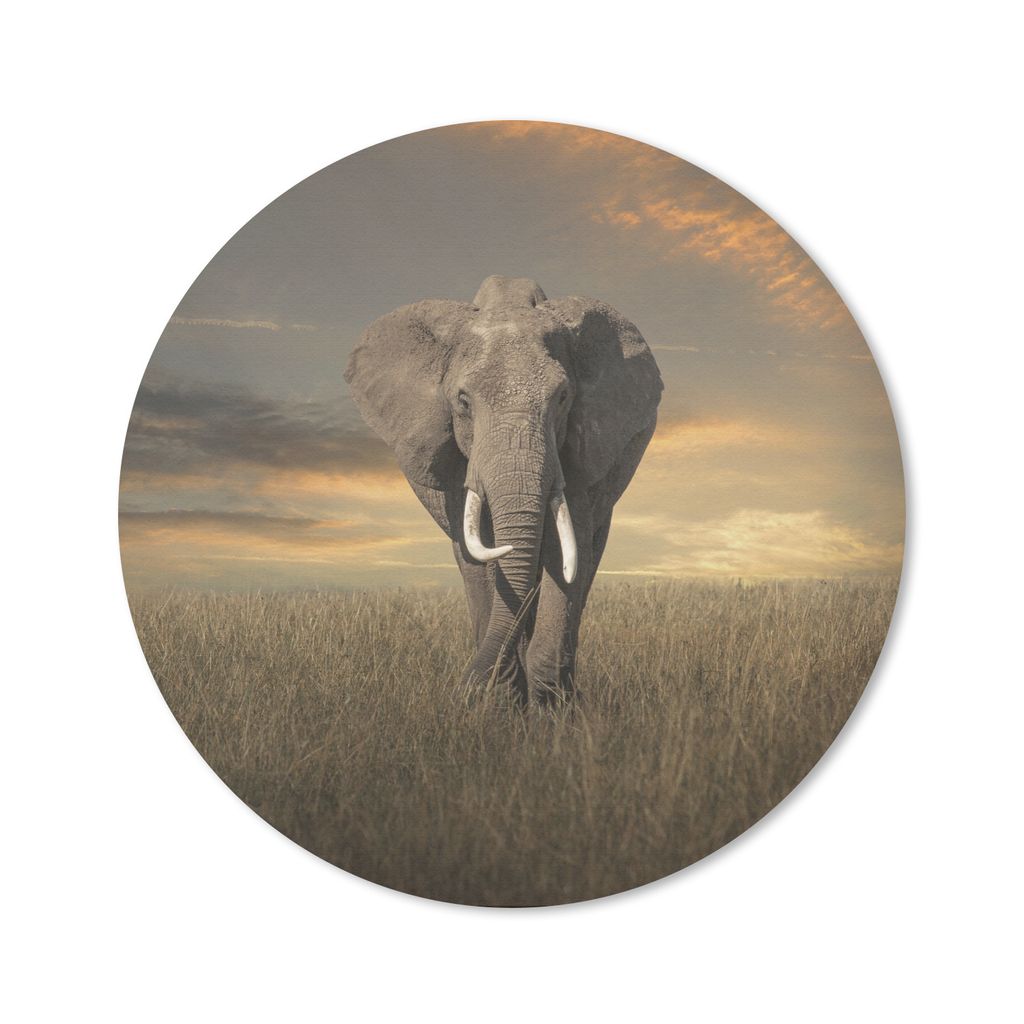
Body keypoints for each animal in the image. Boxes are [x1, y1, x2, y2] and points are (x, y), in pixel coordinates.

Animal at [345, 275, 662, 706]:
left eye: (563, 398)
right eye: (463, 401)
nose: (461, 691)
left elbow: (567, 548)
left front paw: (552, 707)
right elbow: (480, 551)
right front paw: (500, 702)